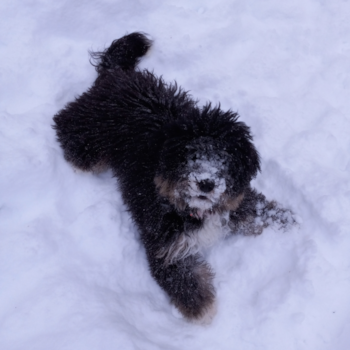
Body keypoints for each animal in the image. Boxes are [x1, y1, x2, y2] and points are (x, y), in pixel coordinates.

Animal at [54, 32, 296, 322]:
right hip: (90, 135)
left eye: (224, 158)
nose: (206, 183)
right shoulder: (166, 247)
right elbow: (184, 279)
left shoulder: (233, 203)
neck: (194, 210)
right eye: (191, 154)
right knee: (65, 125)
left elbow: (256, 209)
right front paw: (205, 313)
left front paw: (288, 222)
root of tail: (117, 75)